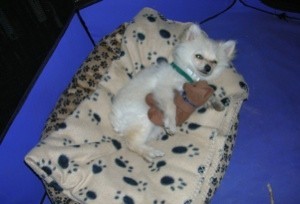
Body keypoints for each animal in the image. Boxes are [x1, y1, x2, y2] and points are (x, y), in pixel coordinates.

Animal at [110, 23, 237, 161]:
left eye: (215, 62)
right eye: (198, 56)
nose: (208, 68)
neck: (188, 74)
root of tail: (115, 120)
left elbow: (209, 94)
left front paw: (215, 102)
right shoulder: (164, 88)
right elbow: (171, 106)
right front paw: (171, 123)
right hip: (144, 117)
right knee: (131, 142)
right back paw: (150, 152)